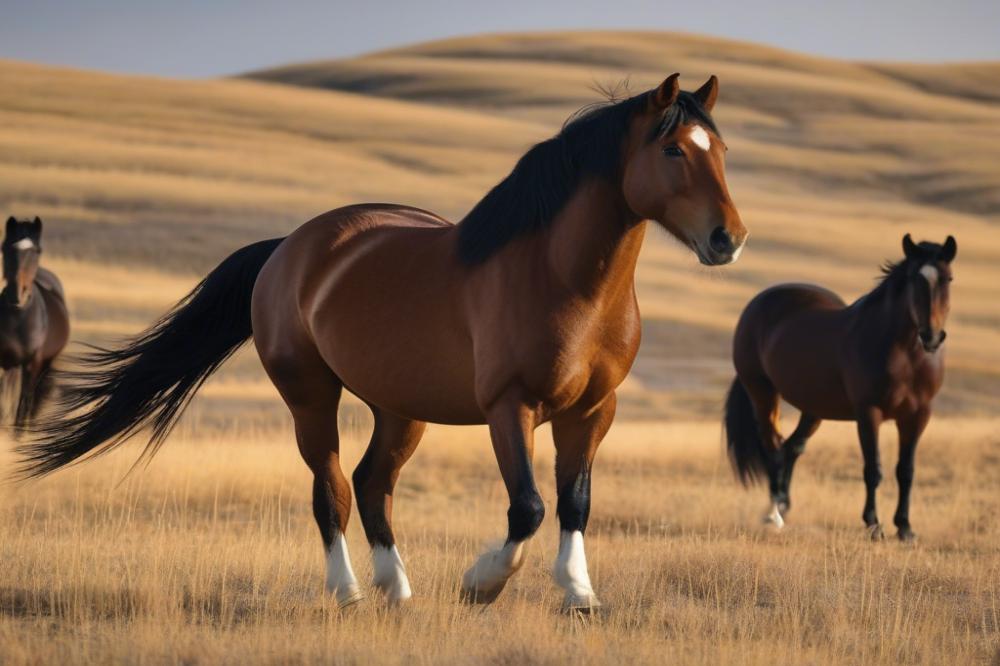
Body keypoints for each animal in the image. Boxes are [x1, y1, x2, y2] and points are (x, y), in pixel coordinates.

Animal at [0, 215, 68, 428]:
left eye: (36, 251)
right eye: (5, 248)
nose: (16, 295)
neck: (19, 318)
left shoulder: (32, 365)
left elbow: (23, 406)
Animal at [19, 71, 748, 608]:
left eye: (723, 152)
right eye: (673, 149)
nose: (728, 239)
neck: (558, 277)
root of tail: (289, 248)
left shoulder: (595, 409)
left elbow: (574, 501)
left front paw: (578, 594)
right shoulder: (508, 407)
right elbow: (529, 505)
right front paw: (482, 583)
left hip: (400, 410)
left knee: (373, 484)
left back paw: (397, 589)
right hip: (311, 398)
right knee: (332, 489)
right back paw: (348, 592)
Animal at [728, 233, 952, 540]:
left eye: (948, 279)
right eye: (913, 279)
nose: (931, 337)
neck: (904, 354)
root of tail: (759, 303)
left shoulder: (917, 416)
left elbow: (906, 471)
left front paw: (905, 528)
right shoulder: (869, 414)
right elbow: (873, 470)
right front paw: (874, 525)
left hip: (812, 408)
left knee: (792, 447)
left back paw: (784, 505)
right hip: (763, 394)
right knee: (772, 446)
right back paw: (773, 514)